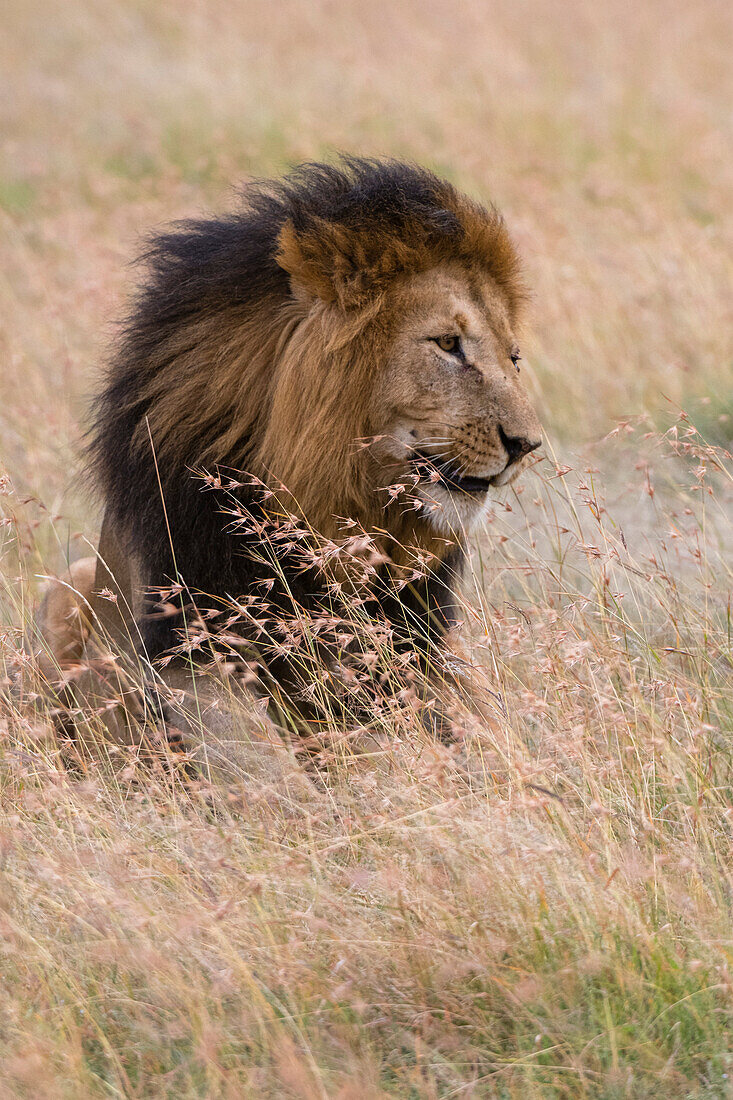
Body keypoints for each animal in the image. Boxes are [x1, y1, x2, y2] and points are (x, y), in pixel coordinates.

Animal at [37, 155, 539, 752]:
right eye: (446, 343)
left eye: (512, 357)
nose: (527, 445)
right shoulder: (189, 657)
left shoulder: (421, 648)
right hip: (63, 591)